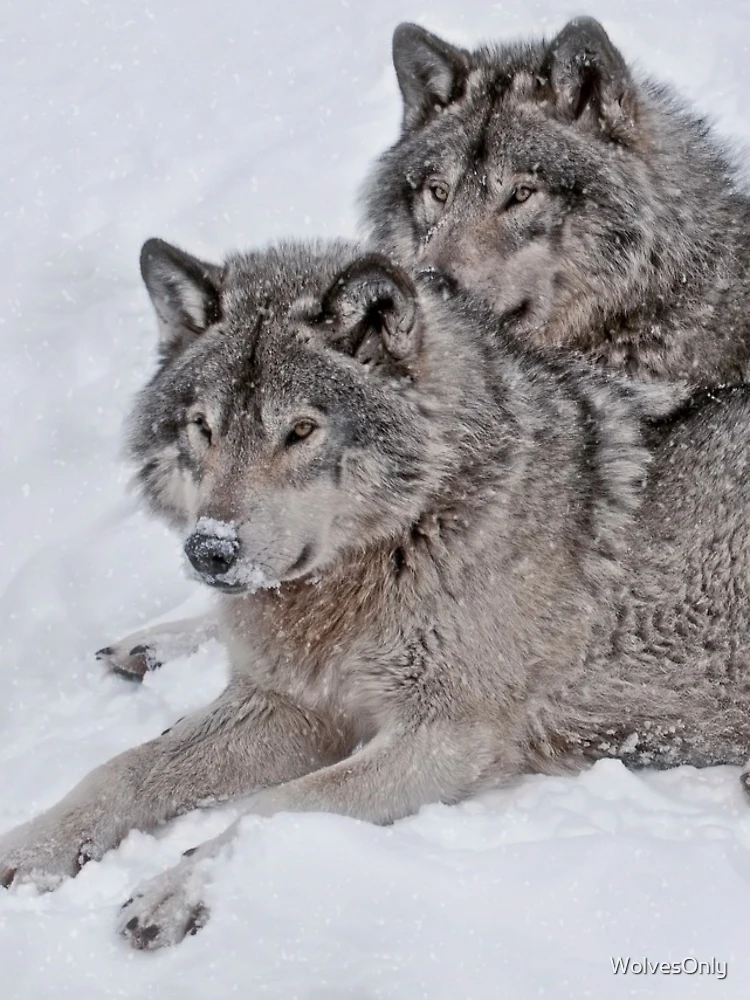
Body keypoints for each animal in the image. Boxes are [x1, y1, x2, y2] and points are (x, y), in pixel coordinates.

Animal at [4, 238, 750, 950]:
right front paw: (28, 847)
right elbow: (124, 771)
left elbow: (274, 807)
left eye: (301, 430)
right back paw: (150, 643)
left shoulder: (445, 739)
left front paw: (177, 888)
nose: (209, 549)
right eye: (204, 428)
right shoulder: (289, 704)